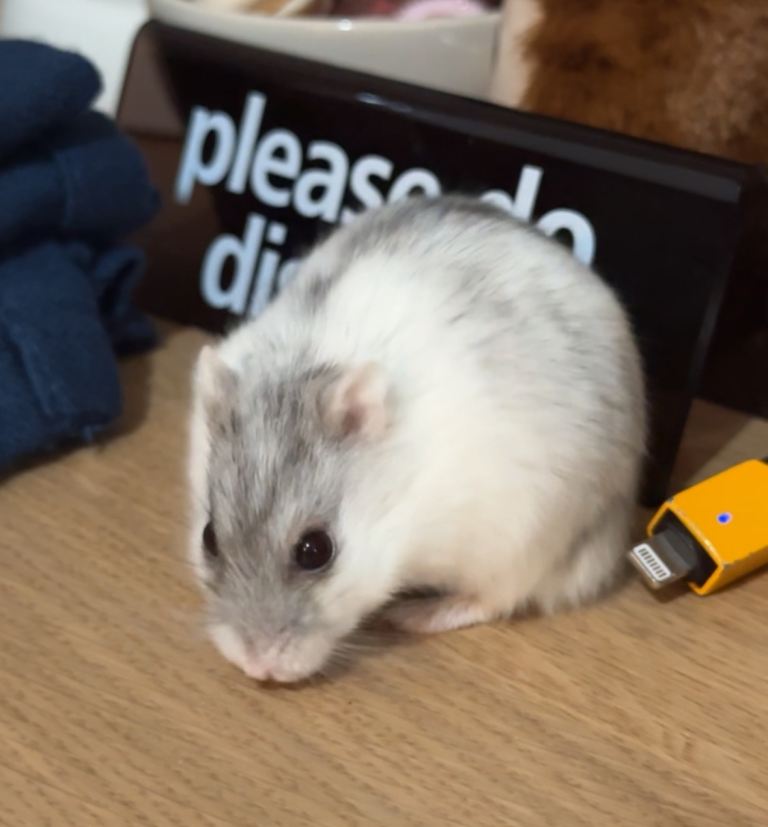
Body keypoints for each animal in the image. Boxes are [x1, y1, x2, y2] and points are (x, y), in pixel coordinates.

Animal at [187, 196, 646, 683]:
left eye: (316, 550)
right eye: (209, 538)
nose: (256, 666)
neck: (401, 500)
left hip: (529, 544)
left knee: (494, 600)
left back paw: (415, 615)